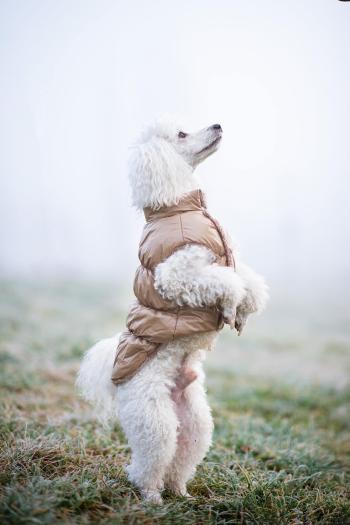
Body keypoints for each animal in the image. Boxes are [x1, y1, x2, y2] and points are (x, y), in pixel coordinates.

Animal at [76, 118, 268, 504]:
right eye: (181, 134)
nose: (218, 124)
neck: (180, 206)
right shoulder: (178, 272)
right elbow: (224, 282)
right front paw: (229, 306)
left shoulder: (228, 258)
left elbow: (246, 281)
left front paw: (243, 311)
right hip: (154, 418)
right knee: (151, 463)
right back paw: (152, 497)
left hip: (195, 421)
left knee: (182, 458)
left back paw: (181, 492)